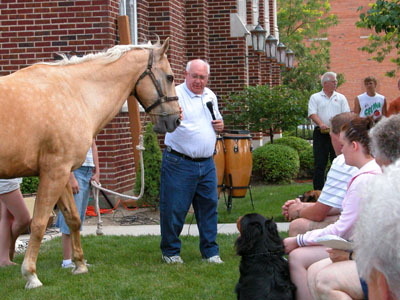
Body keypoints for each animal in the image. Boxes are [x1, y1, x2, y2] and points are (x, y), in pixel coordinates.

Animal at [0, 38, 180, 288]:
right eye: (170, 77)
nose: (176, 119)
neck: (74, 93)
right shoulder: (54, 172)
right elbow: (38, 224)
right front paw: (31, 275)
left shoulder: (62, 173)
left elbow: (74, 219)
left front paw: (80, 265)